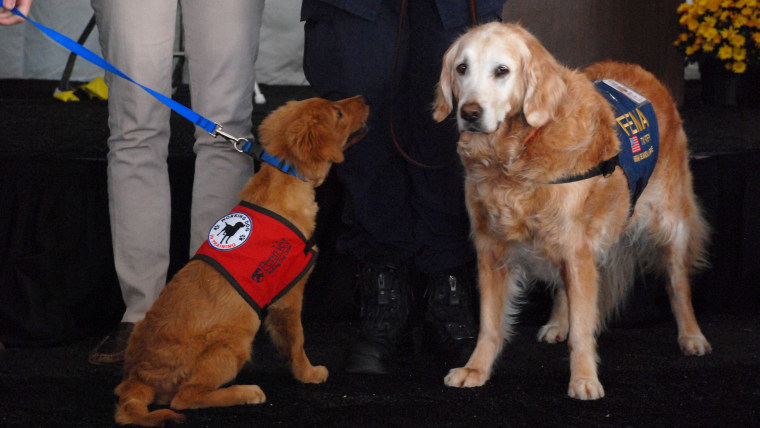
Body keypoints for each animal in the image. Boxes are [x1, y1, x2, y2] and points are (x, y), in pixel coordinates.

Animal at [113, 95, 372, 426]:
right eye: (338, 113)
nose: (363, 98)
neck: (285, 179)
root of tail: (138, 376)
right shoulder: (289, 296)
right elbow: (297, 340)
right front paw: (308, 373)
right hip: (235, 339)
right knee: (185, 397)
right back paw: (246, 392)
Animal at [434, 21, 712, 400]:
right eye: (462, 68)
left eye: (502, 71)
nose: (469, 113)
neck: (518, 156)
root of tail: (641, 72)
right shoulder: (492, 249)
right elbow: (490, 324)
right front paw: (476, 369)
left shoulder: (577, 247)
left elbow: (583, 328)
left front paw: (583, 379)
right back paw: (556, 323)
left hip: (670, 221)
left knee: (677, 283)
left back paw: (691, 335)